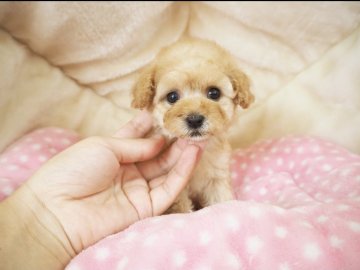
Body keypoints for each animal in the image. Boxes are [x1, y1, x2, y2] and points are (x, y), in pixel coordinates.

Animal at [131, 37, 253, 213]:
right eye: (172, 97)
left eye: (214, 93)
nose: (195, 120)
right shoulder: (176, 189)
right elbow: (181, 207)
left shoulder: (217, 175)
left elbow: (221, 199)